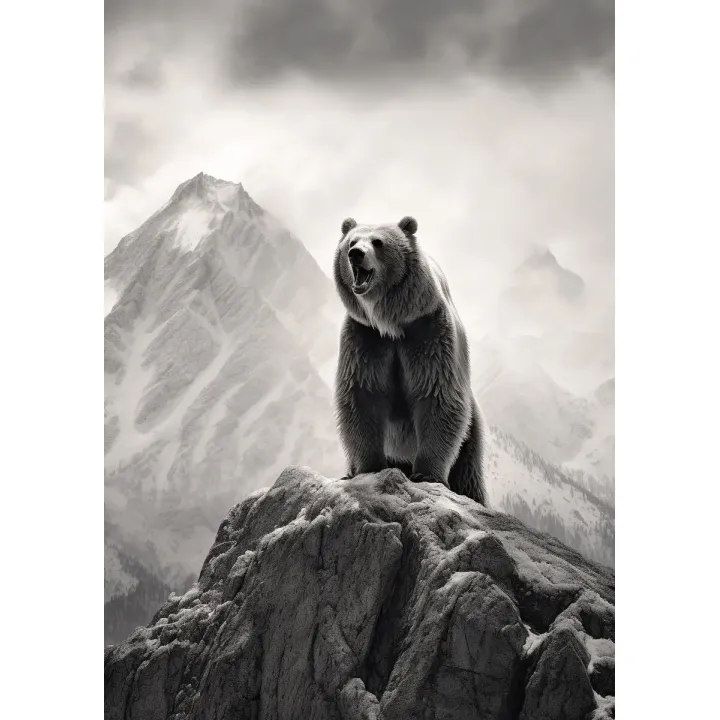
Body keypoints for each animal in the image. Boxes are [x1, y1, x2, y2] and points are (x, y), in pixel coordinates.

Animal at [333, 215, 488, 506]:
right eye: (351, 241)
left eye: (378, 242)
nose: (355, 254)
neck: (391, 322)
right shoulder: (365, 337)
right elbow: (362, 393)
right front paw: (369, 467)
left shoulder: (428, 331)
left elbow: (436, 392)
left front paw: (427, 473)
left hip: (471, 434)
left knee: (468, 472)